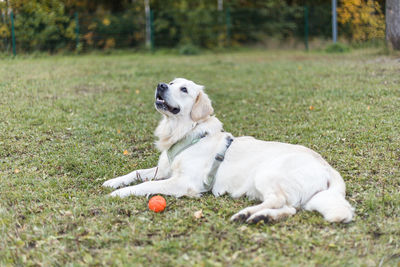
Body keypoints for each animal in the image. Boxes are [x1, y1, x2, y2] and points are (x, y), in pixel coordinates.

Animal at [102, 79, 354, 224]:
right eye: (170, 83)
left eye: (183, 89)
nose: (161, 86)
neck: (184, 132)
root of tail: (328, 168)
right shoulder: (163, 169)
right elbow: (136, 172)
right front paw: (113, 182)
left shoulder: (184, 182)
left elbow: (146, 185)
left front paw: (119, 194)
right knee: (289, 209)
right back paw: (259, 217)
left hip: (267, 173)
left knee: (278, 200)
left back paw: (247, 213)